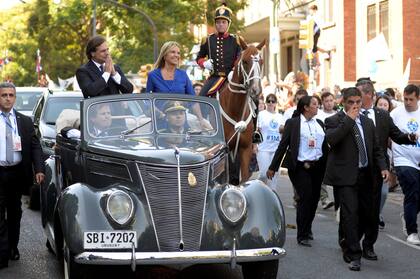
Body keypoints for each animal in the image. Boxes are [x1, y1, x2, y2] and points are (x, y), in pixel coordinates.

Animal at [217, 38, 266, 184]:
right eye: (244, 61)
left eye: (261, 62)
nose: (256, 90)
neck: (235, 109)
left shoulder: (245, 150)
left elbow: (244, 180)